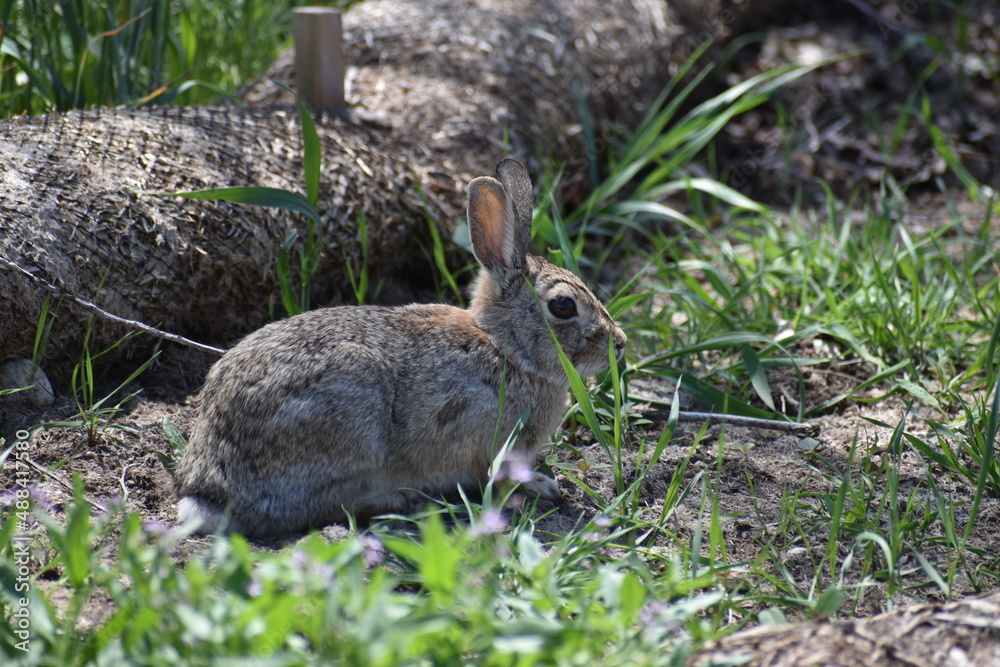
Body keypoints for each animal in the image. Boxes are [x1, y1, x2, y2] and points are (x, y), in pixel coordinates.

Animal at [174, 158, 627, 538]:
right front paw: (543, 486)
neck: (505, 348)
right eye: (563, 306)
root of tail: (207, 490)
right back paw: (395, 500)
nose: (619, 343)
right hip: (347, 427)